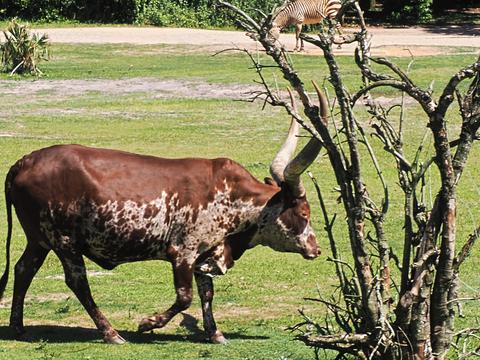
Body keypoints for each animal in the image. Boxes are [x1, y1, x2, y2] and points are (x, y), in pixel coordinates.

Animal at [0, 89, 326, 344]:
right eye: (304, 213)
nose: (316, 249)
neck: (234, 199)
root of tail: (24, 161)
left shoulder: (205, 252)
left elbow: (207, 293)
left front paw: (215, 333)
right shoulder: (182, 252)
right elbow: (185, 297)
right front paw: (149, 323)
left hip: (39, 239)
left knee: (23, 269)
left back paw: (18, 327)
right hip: (64, 241)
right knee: (77, 282)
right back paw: (110, 333)